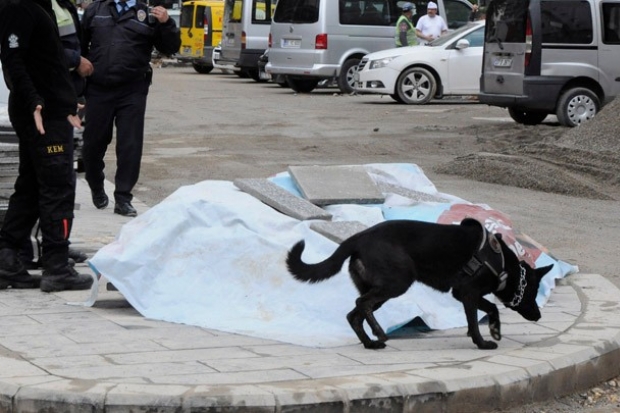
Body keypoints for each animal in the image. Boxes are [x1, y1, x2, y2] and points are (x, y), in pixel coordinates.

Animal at [286, 217, 552, 350]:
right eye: (533, 291)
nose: (539, 316)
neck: (504, 264)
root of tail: (359, 238)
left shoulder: (464, 294)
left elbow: (491, 307)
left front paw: (495, 329)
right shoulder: (467, 292)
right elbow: (476, 320)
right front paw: (482, 342)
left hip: (381, 289)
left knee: (355, 314)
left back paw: (370, 343)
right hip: (397, 282)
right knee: (362, 303)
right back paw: (379, 333)